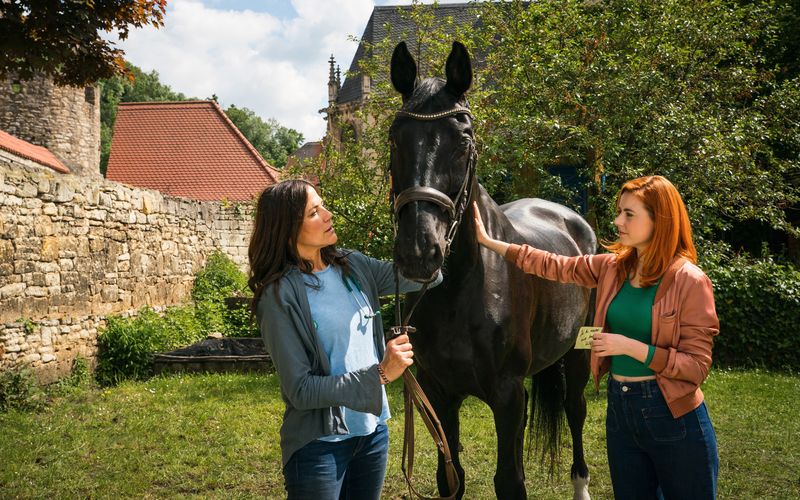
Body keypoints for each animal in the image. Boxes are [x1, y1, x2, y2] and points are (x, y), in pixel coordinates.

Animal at [389, 41, 597, 499]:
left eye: (463, 139)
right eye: (395, 138)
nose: (418, 251)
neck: (461, 291)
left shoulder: (507, 395)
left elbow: (510, 481)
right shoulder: (439, 392)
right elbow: (451, 478)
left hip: (579, 353)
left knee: (575, 411)